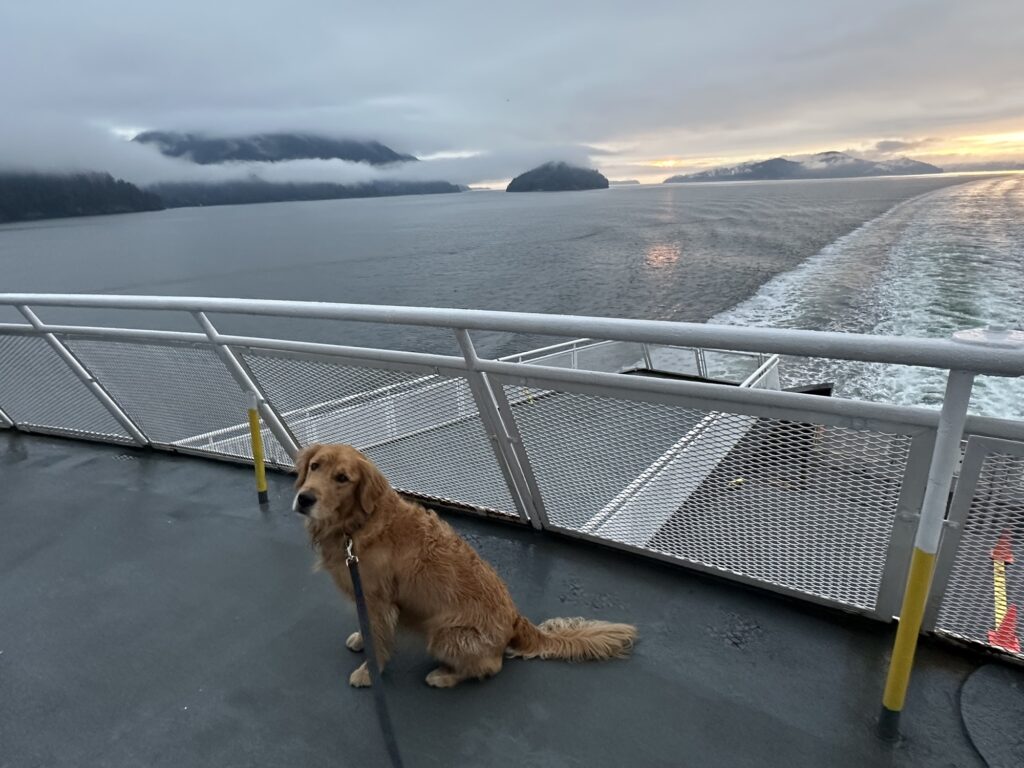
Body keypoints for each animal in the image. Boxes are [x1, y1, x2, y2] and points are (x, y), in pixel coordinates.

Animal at [292, 442, 634, 688]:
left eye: (342, 478)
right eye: (315, 466)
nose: (305, 498)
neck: (358, 524)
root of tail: (516, 620)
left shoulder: (380, 601)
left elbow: (380, 640)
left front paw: (368, 673)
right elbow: (369, 630)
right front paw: (361, 640)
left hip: (443, 634)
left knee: (490, 666)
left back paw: (442, 676)